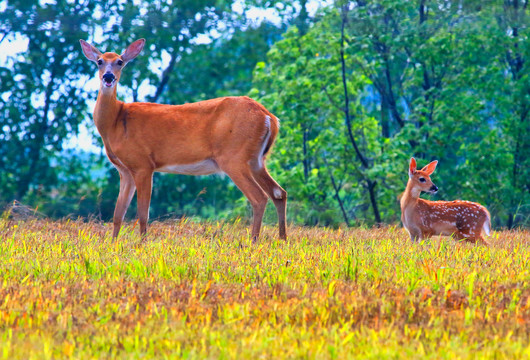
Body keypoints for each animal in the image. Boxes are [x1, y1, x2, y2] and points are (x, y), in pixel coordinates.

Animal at [79, 38, 284, 242]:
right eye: (99, 61)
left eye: (120, 62)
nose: (108, 77)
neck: (116, 122)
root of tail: (269, 117)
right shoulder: (125, 170)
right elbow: (117, 214)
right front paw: (113, 243)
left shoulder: (143, 164)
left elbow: (143, 214)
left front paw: (142, 243)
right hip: (256, 160)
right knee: (279, 193)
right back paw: (282, 239)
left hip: (234, 157)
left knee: (259, 197)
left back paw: (254, 241)